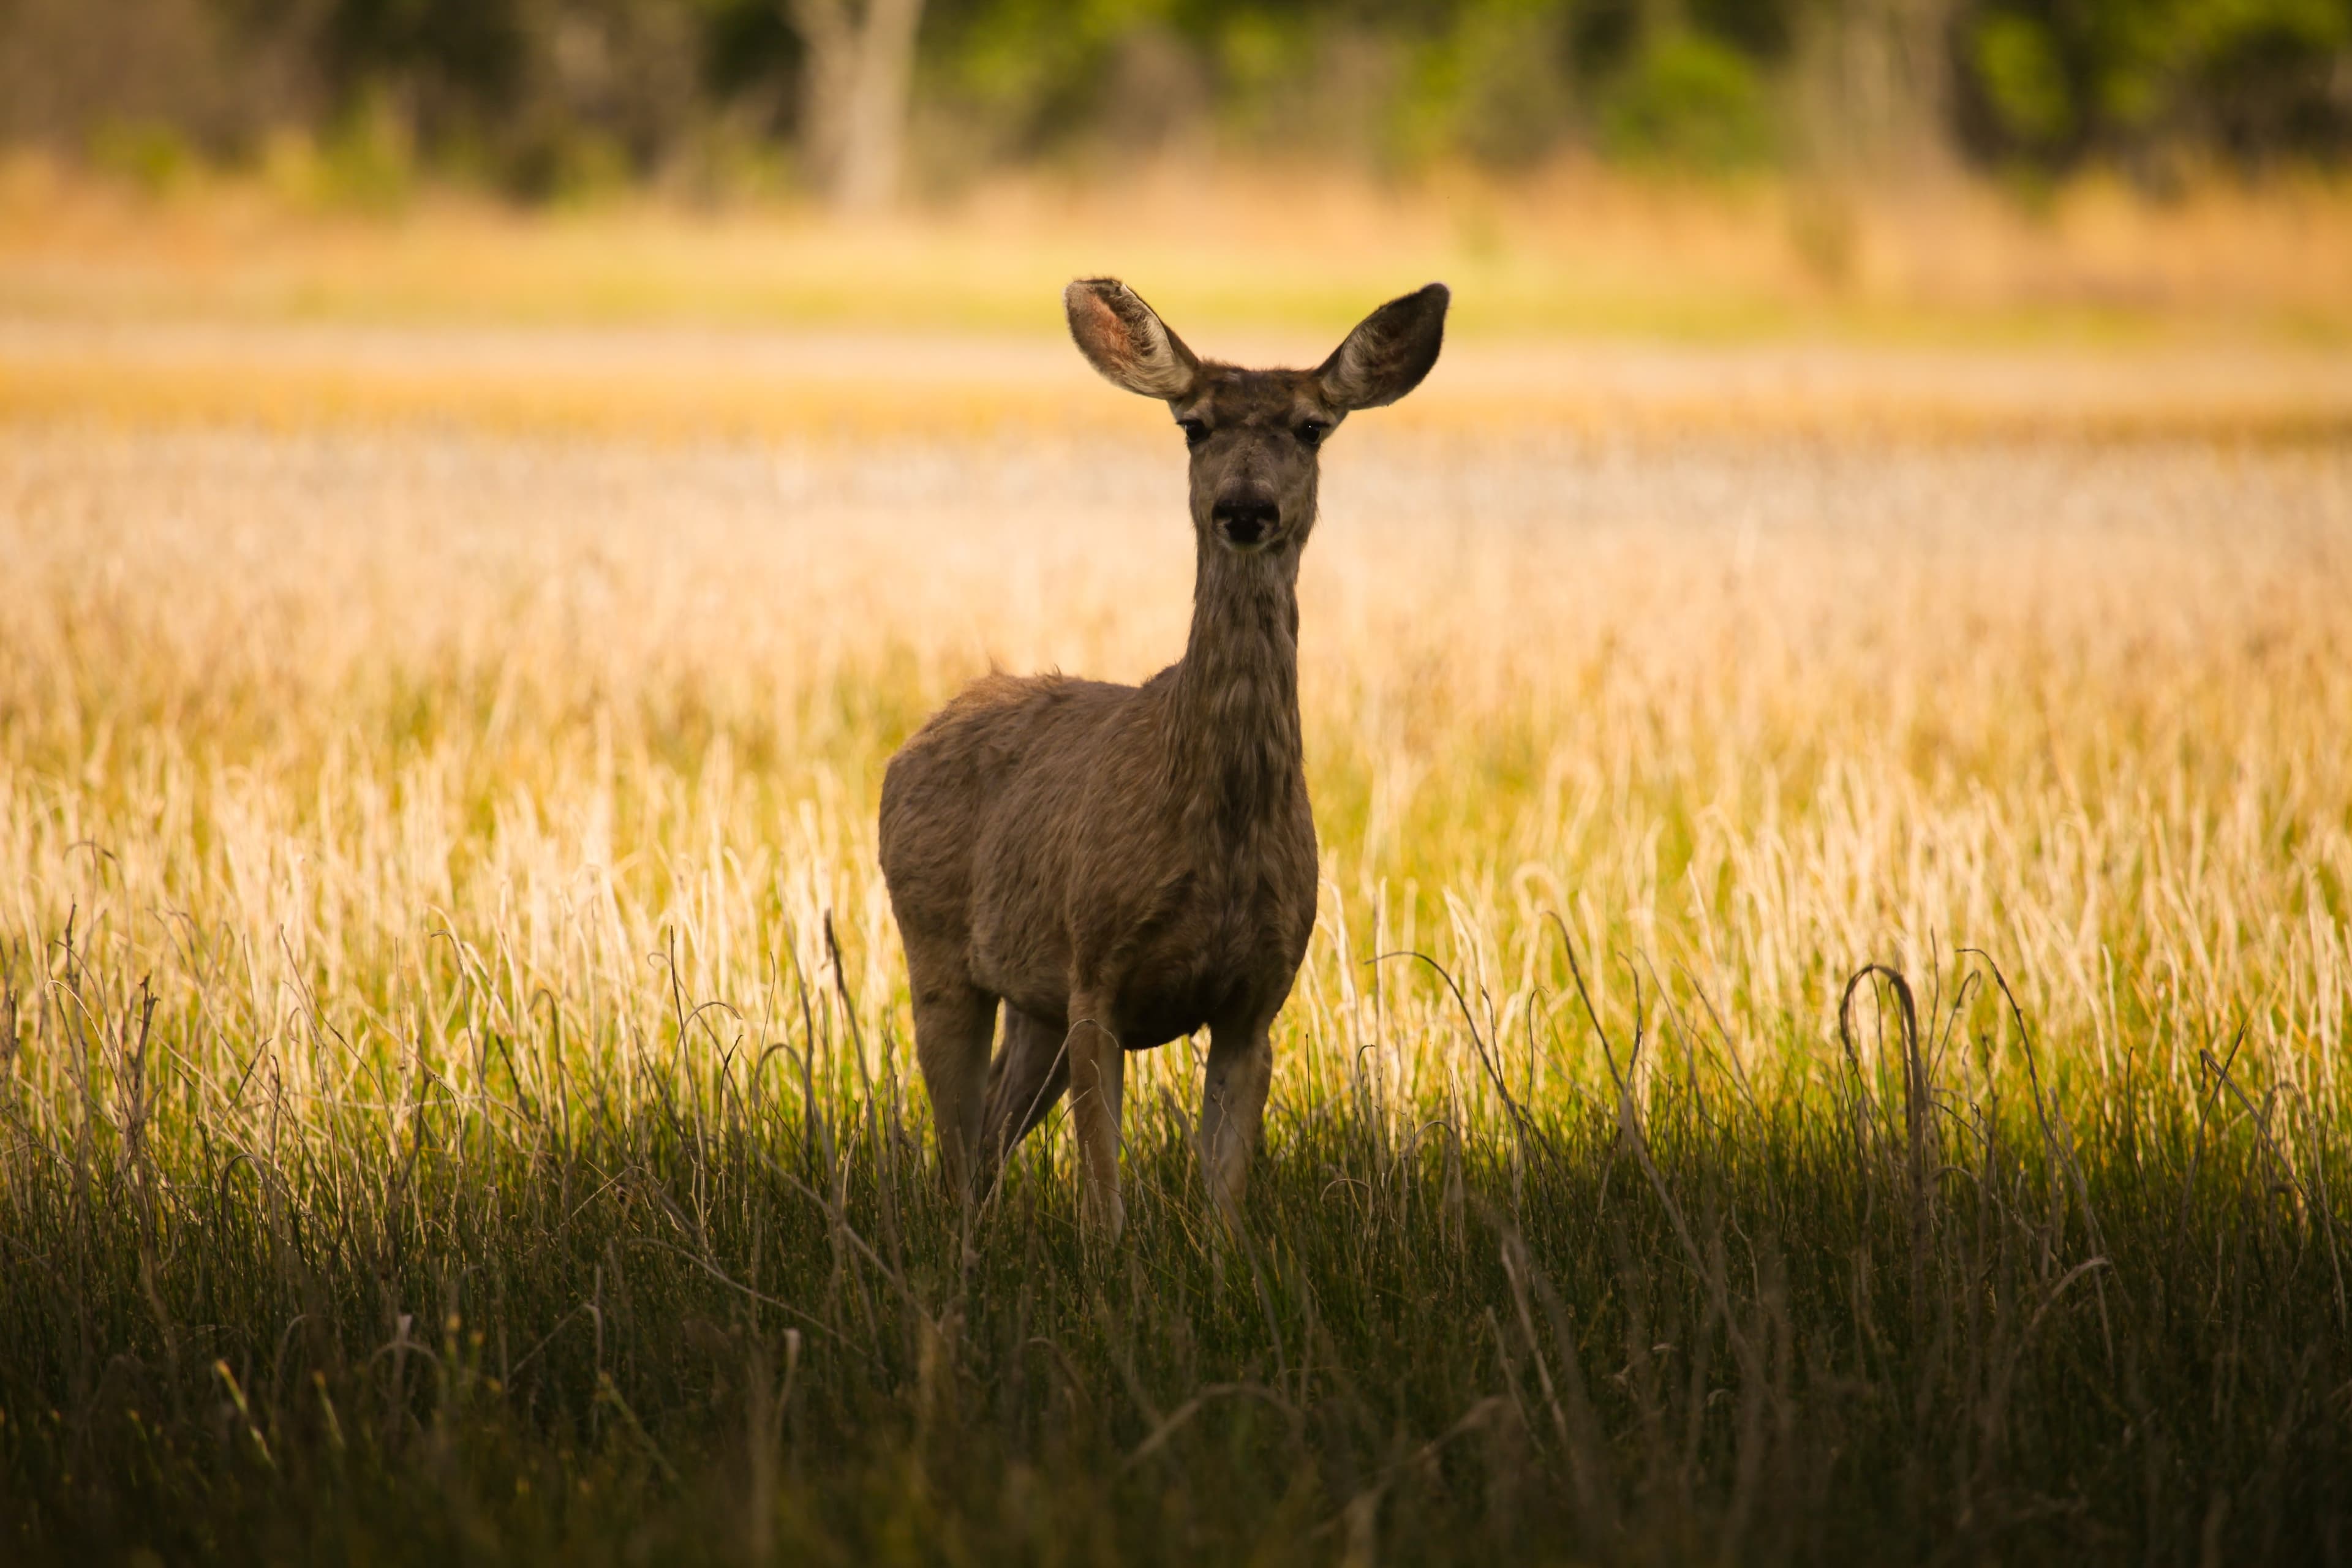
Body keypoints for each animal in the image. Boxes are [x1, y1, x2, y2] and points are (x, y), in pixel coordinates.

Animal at [878, 277, 1449, 1241]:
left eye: (1311, 427)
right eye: (1194, 425)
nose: (1245, 507)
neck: (1216, 826)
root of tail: (911, 742)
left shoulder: (1258, 996)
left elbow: (1222, 1200)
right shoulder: (1095, 967)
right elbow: (1102, 1195)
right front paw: (1109, 1263)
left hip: (1034, 1002)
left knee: (989, 1137)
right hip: (937, 941)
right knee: (954, 1147)